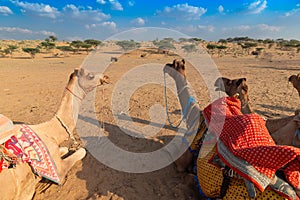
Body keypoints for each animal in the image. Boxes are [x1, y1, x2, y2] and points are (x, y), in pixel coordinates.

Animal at [0, 68, 109, 199]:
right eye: (90, 76)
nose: (106, 77)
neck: (50, 132)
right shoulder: (58, 171)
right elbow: (82, 151)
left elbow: (64, 149)